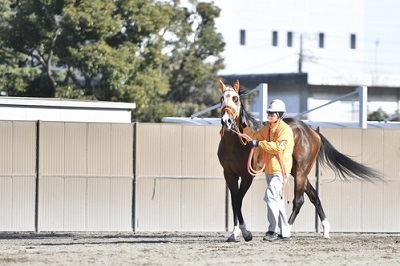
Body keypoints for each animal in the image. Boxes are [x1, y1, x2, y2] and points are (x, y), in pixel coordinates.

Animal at [217, 78, 382, 241]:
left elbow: (238, 201)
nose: (226, 121)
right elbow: (234, 201)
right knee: (314, 195)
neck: (237, 143)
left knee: (299, 200)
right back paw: (325, 230)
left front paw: (246, 233)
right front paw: (234, 233)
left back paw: (285, 231)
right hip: (295, 171)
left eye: (235, 98)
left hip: (301, 171)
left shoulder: (247, 176)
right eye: (221, 99)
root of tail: (313, 132)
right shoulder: (229, 175)